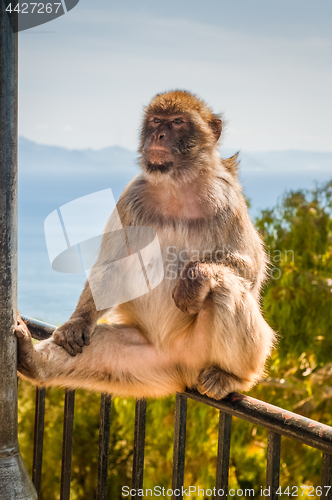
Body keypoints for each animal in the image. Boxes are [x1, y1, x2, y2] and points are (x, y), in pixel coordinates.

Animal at [15, 90, 274, 400]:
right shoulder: (130, 199)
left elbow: (249, 271)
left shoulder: (227, 201)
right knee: (101, 344)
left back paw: (231, 377)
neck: (177, 187)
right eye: (155, 121)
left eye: (177, 122)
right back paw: (33, 361)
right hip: (146, 362)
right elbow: (111, 264)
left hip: (209, 353)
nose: (158, 135)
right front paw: (77, 322)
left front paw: (193, 279)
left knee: (226, 286)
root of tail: (181, 369)